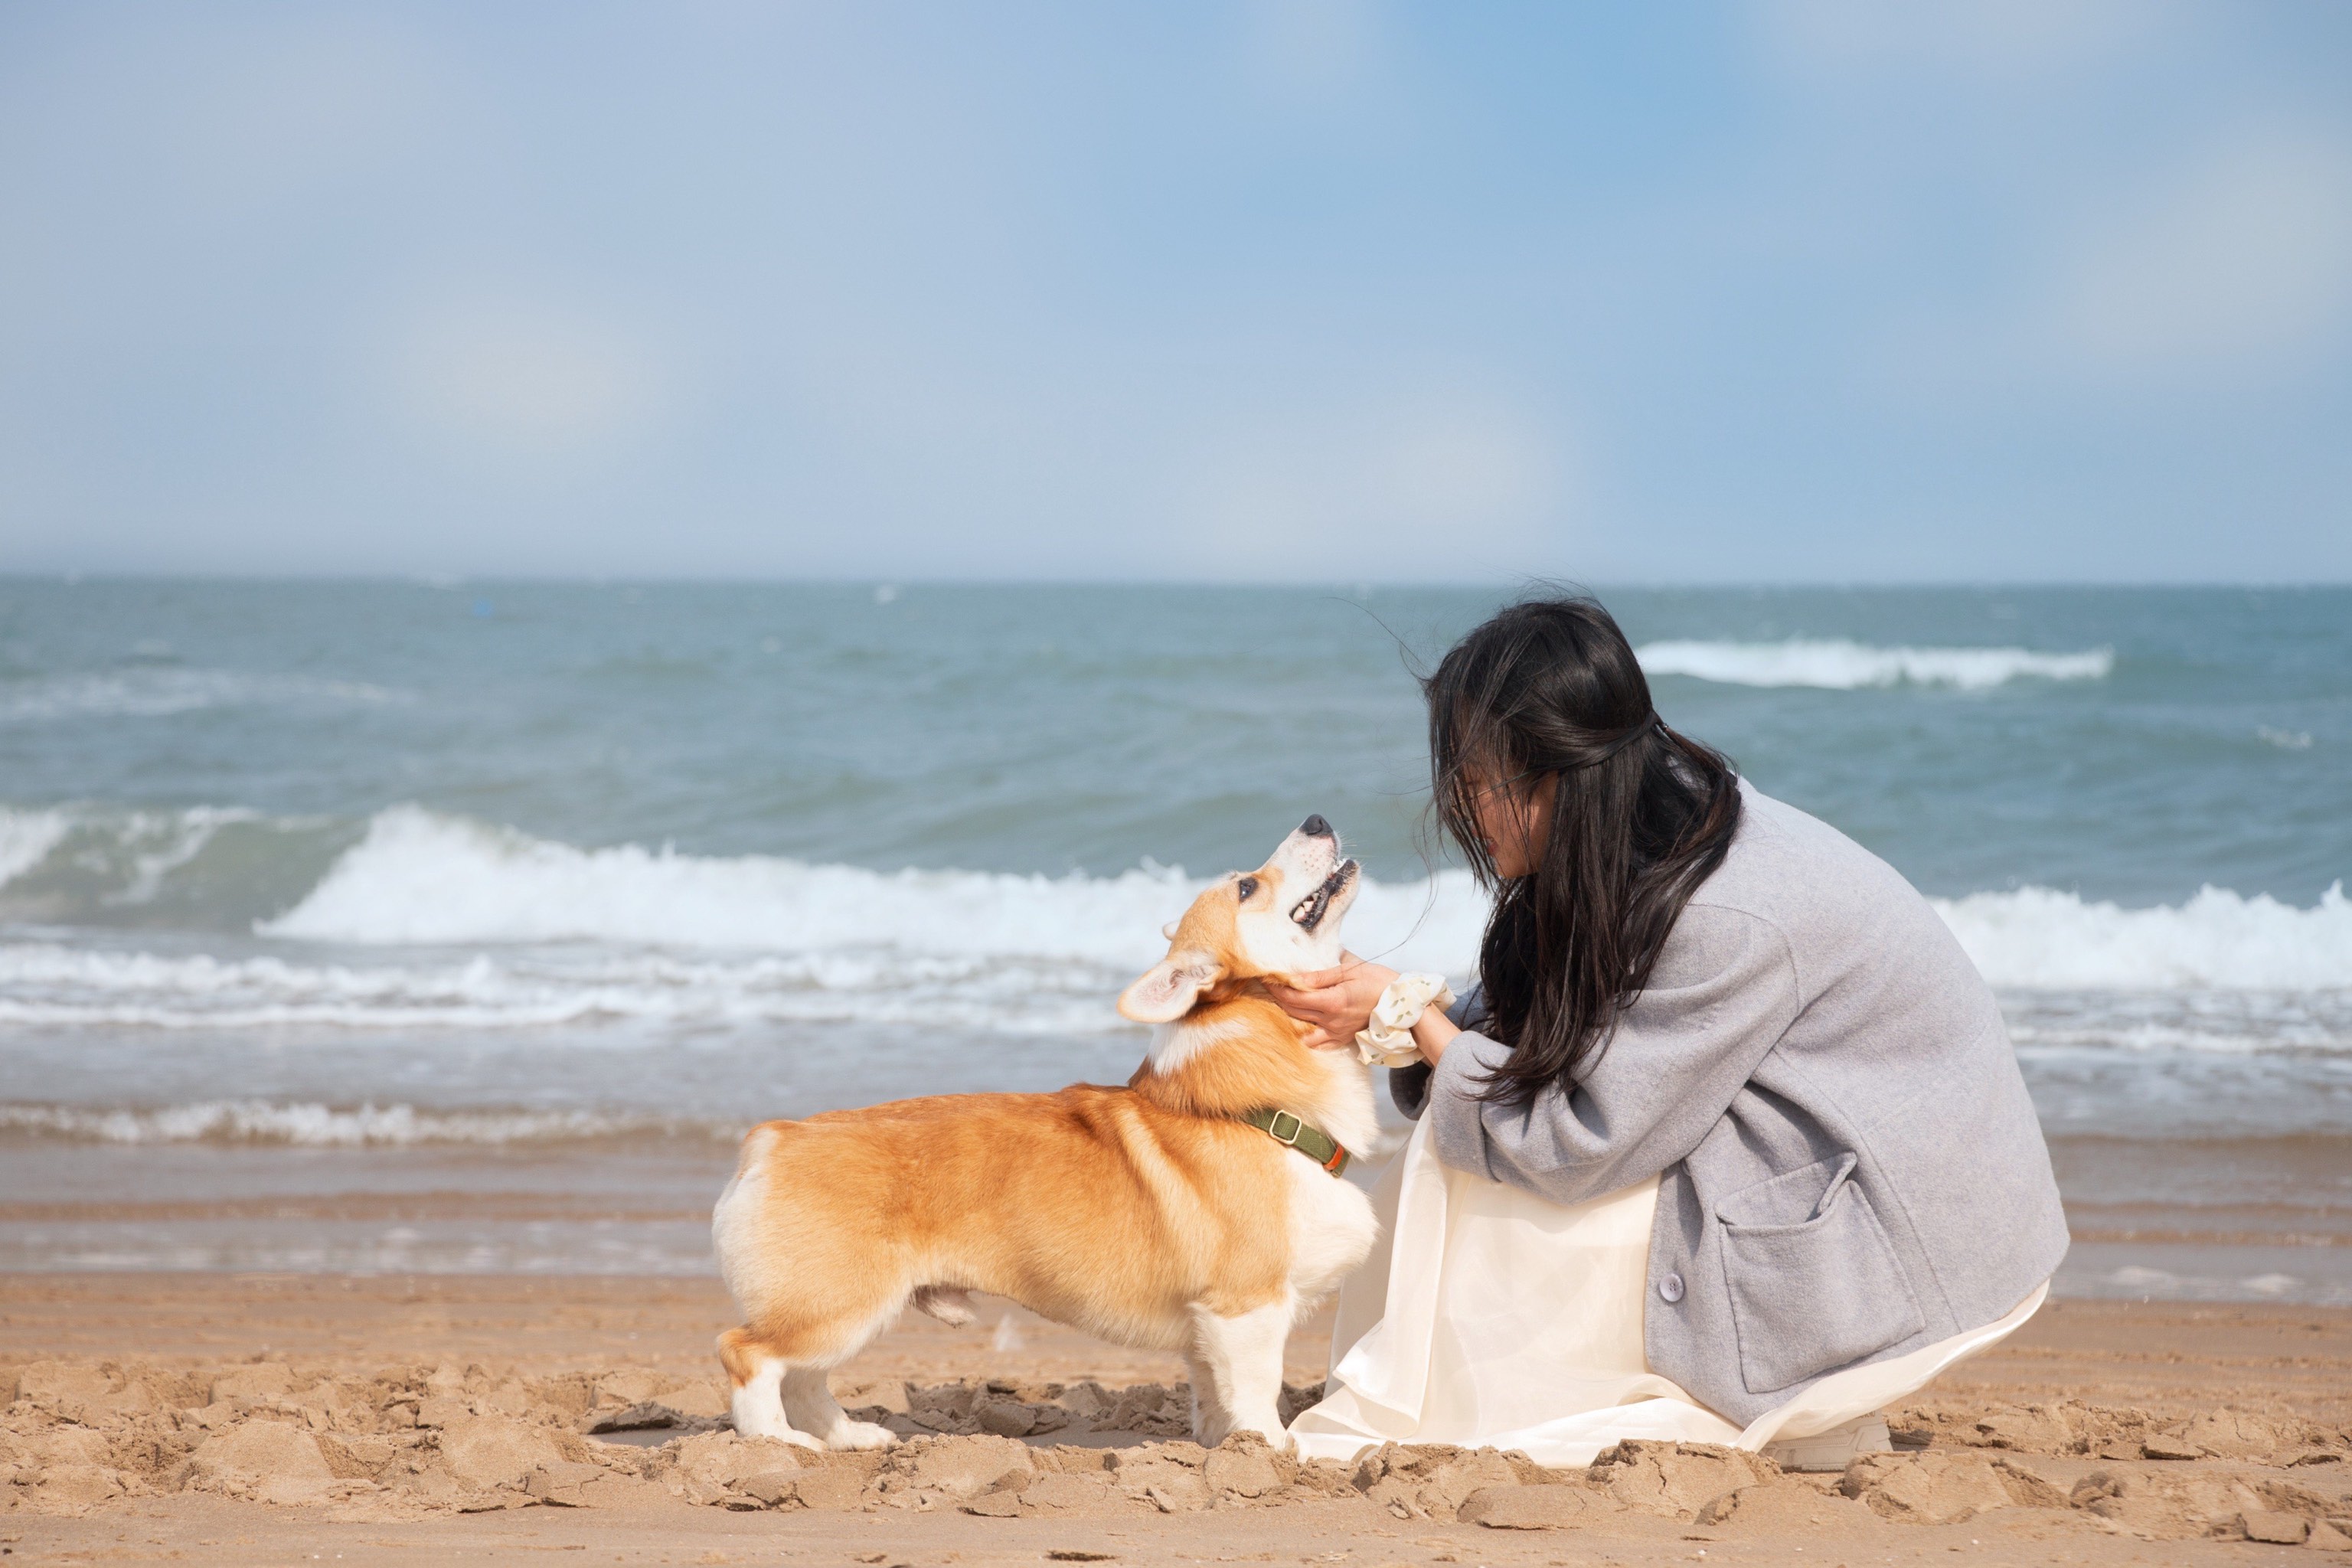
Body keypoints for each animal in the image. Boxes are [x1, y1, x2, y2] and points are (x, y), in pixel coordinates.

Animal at [705, 822, 1383, 1448]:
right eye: (1246, 887)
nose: (1317, 821)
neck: (1258, 1106)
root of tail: (774, 1138)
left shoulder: (1209, 1328)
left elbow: (1214, 1396)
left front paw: (1223, 1450)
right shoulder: (1247, 1305)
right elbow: (1258, 1391)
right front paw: (1276, 1452)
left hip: (848, 1314)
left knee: (804, 1378)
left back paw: (849, 1438)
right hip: (839, 1305)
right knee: (749, 1354)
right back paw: (776, 1443)